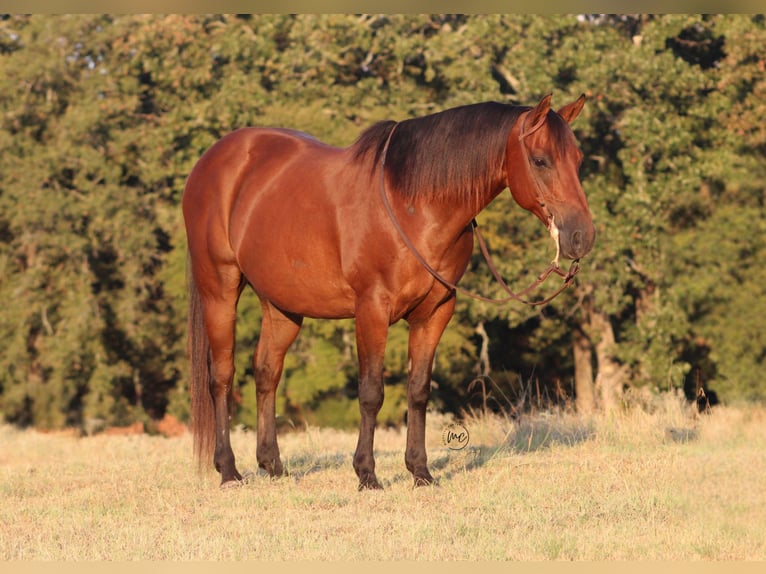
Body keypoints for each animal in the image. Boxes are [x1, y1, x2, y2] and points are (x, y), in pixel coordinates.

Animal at [183, 94, 595, 490]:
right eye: (541, 160)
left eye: (577, 160)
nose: (582, 237)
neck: (414, 205)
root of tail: (213, 159)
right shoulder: (372, 309)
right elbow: (371, 393)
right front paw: (367, 474)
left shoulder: (435, 312)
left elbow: (418, 390)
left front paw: (420, 472)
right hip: (219, 288)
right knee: (222, 376)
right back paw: (229, 471)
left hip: (281, 305)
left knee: (267, 371)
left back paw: (272, 466)